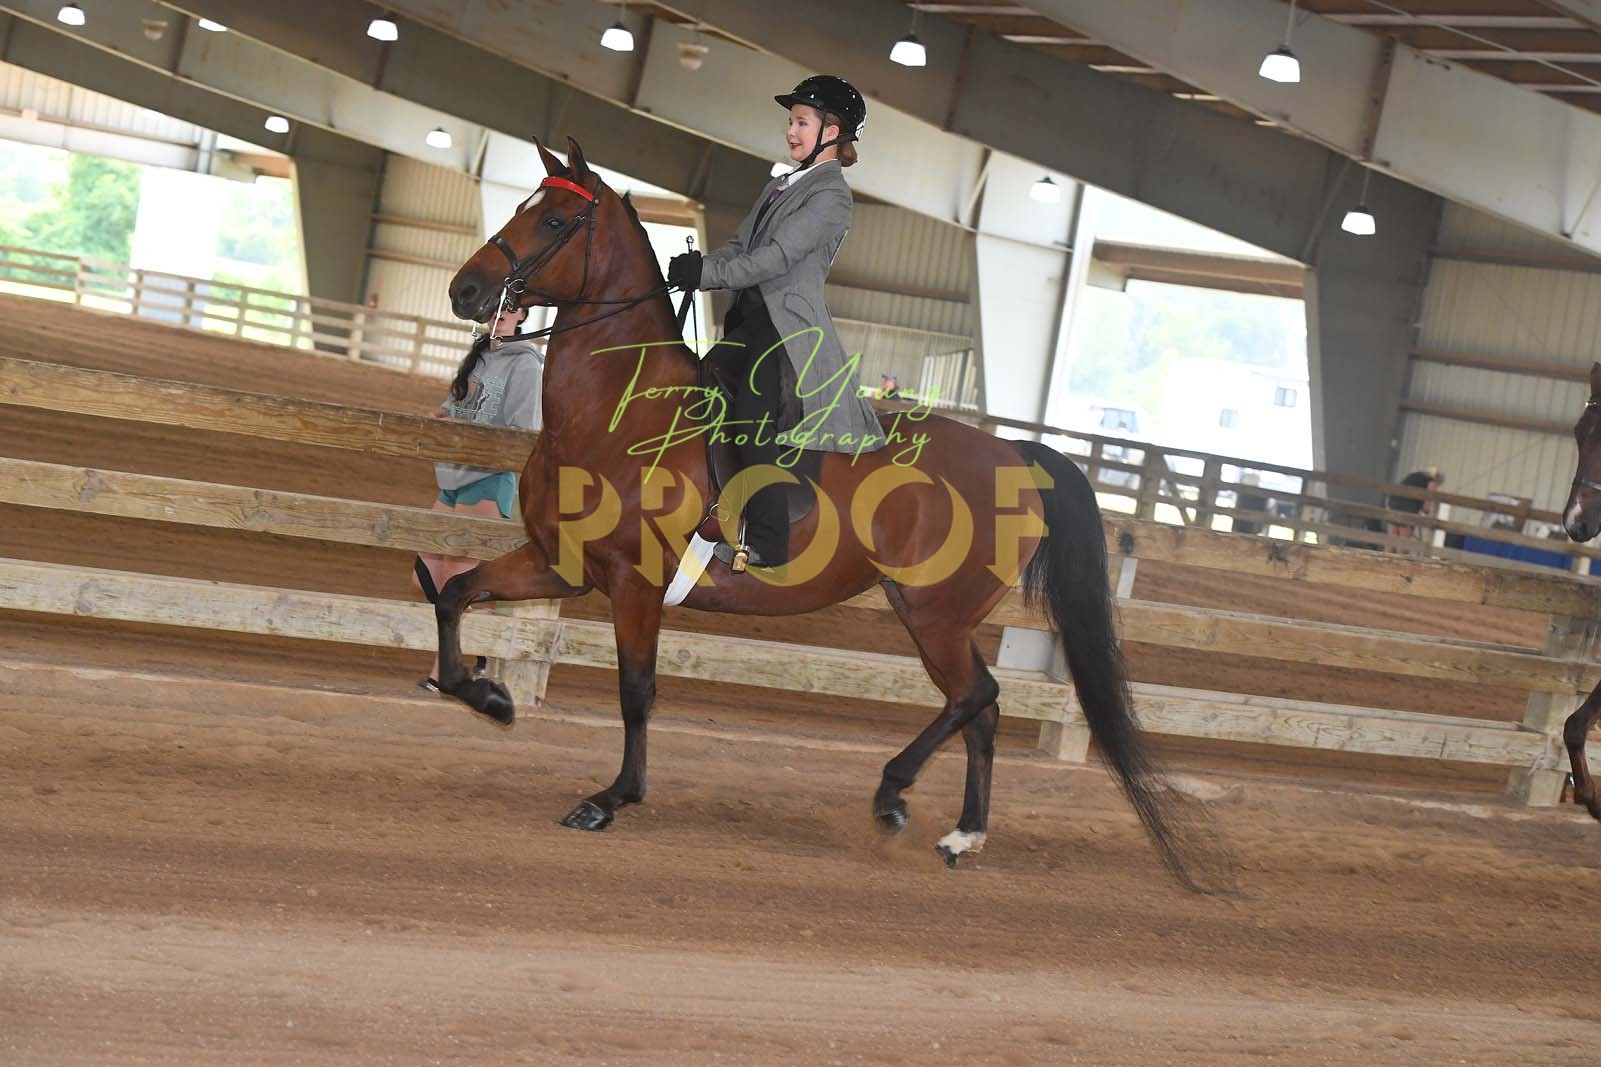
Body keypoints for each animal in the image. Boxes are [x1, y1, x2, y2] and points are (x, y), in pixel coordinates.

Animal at [433, 137, 1210, 886]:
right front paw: (486, 696)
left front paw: (610, 798)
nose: (465, 289)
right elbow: (453, 593)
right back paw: (962, 834)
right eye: (522, 207)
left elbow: (635, 690)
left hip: (935, 613)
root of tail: (1014, 453)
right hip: (935, 616)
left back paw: (894, 795)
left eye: (555, 221)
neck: (616, 409)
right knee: (981, 710)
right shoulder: (559, 564)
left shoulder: (635, 584)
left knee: (976, 696)